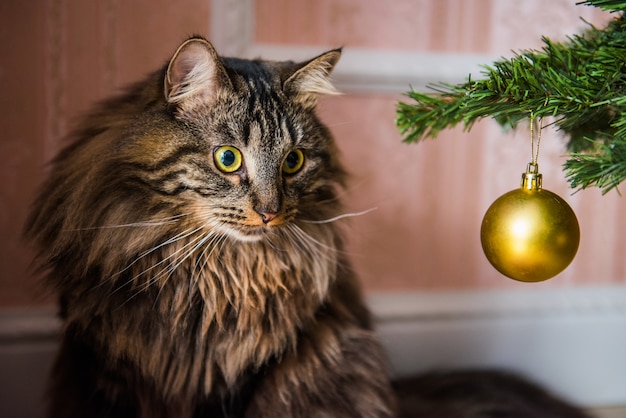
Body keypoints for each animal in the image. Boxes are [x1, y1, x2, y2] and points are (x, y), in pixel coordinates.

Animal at [23, 36, 584, 418]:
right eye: (228, 158)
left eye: (293, 162)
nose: (270, 212)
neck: (213, 280)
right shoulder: (113, 371)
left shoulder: (252, 374)